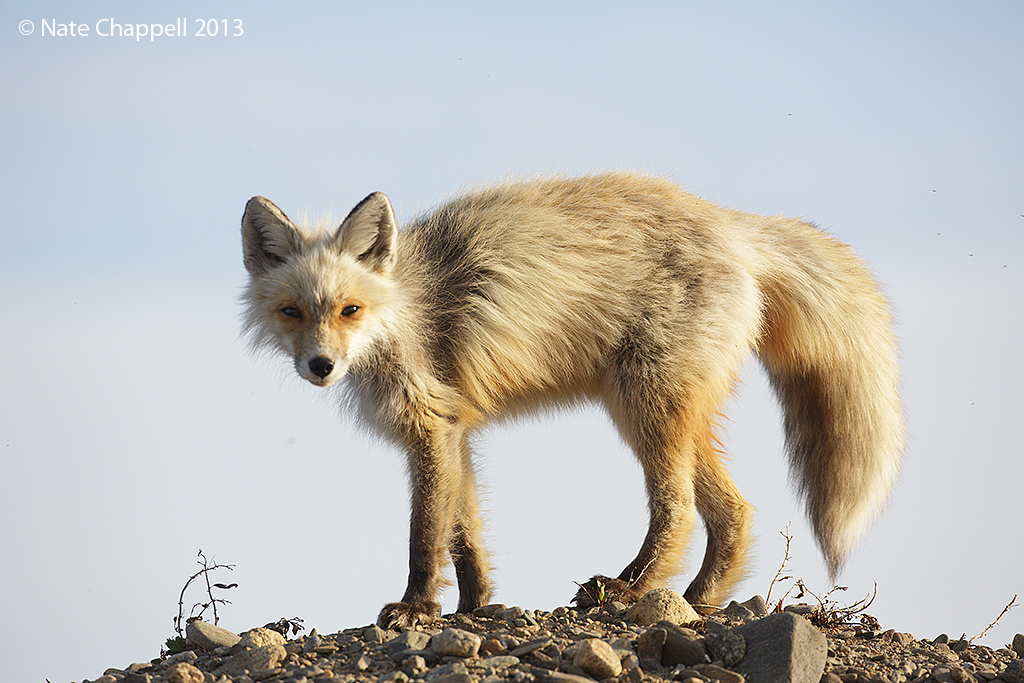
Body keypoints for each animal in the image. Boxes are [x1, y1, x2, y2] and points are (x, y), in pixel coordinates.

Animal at [240, 172, 903, 629]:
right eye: (292, 312)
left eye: (349, 310)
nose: (321, 367)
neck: (405, 312)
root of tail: (729, 222)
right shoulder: (456, 430)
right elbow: (467, 535)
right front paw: (474, 608)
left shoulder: (431, 427)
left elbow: (425, 536)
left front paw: (414, 609)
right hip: (666, 410)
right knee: (734, 512)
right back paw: (692, 602)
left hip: (645, 405)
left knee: (680, 510)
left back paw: (630, 588)